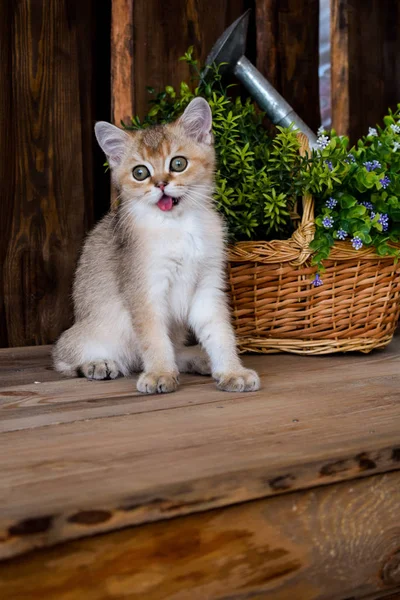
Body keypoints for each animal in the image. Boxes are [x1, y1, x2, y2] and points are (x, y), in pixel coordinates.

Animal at [52, 98, 260, 394]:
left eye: (178, 163)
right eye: (140, 173)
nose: (161, 184)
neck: (180, 226)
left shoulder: (208, 287)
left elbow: (220, 332)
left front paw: (232, 372)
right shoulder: (145, 291)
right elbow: (153, 337)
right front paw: (160, 373)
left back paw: (197, 359)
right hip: (92, 332)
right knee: (64, 355)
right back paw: (98, 364)